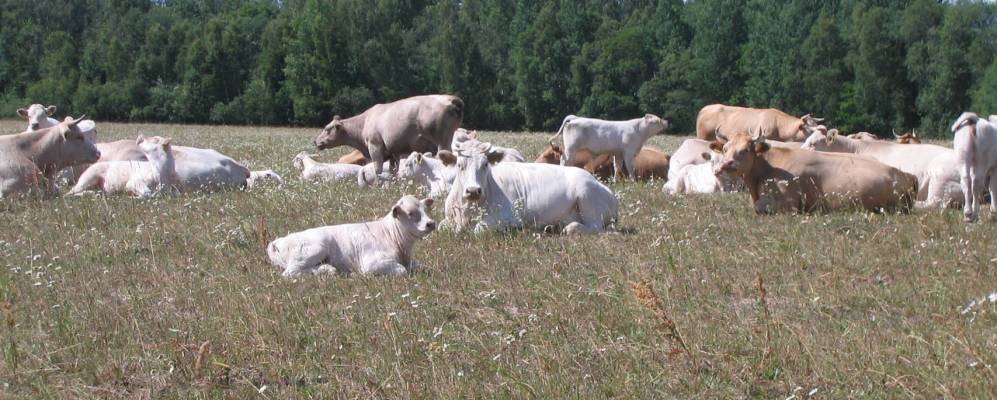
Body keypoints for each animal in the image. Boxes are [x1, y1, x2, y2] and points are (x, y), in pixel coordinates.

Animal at [264, 195, 436, 276]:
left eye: (426, 210)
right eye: (410, 213)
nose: (431, 223)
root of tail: (277, 241)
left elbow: (416, 265)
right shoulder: (371, 263)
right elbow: (402, 270)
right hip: (313, 250)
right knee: (290, 273)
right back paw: (327, 269)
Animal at [314, 94, 464, 180]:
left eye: (327, 129)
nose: (315, 141)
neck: (363, 123)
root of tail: (450, 98)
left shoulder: (375, 147)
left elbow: (378, 169)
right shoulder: (393, 152)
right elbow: (393, 171)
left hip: (442, 140)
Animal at [446, 141, 620, 234]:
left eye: (485, 164)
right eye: (459, 165)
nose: (473, 190)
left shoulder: (507, 216)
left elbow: (479, 229)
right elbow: (443, 227)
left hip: (586, 196)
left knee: (594, 227)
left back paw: (571, 228)